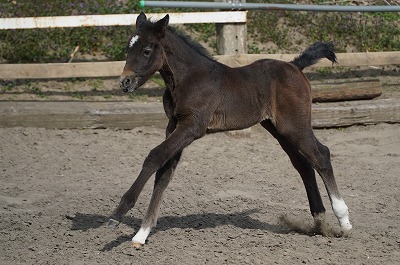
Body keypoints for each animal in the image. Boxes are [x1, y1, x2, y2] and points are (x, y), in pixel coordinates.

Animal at [108, 12, 352, 248]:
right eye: (128, 48)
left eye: (147, 50)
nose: (124, 82)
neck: (188, 79)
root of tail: (294, 66)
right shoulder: (174, 126)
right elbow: (164, 173)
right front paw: (141, 234)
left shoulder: (192, 127)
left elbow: (154, 156)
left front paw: (117, 214)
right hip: (278, 128)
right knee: (303, 164)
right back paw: (318, 222)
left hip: (294, 125)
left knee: (321, 155)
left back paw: (344, 221)